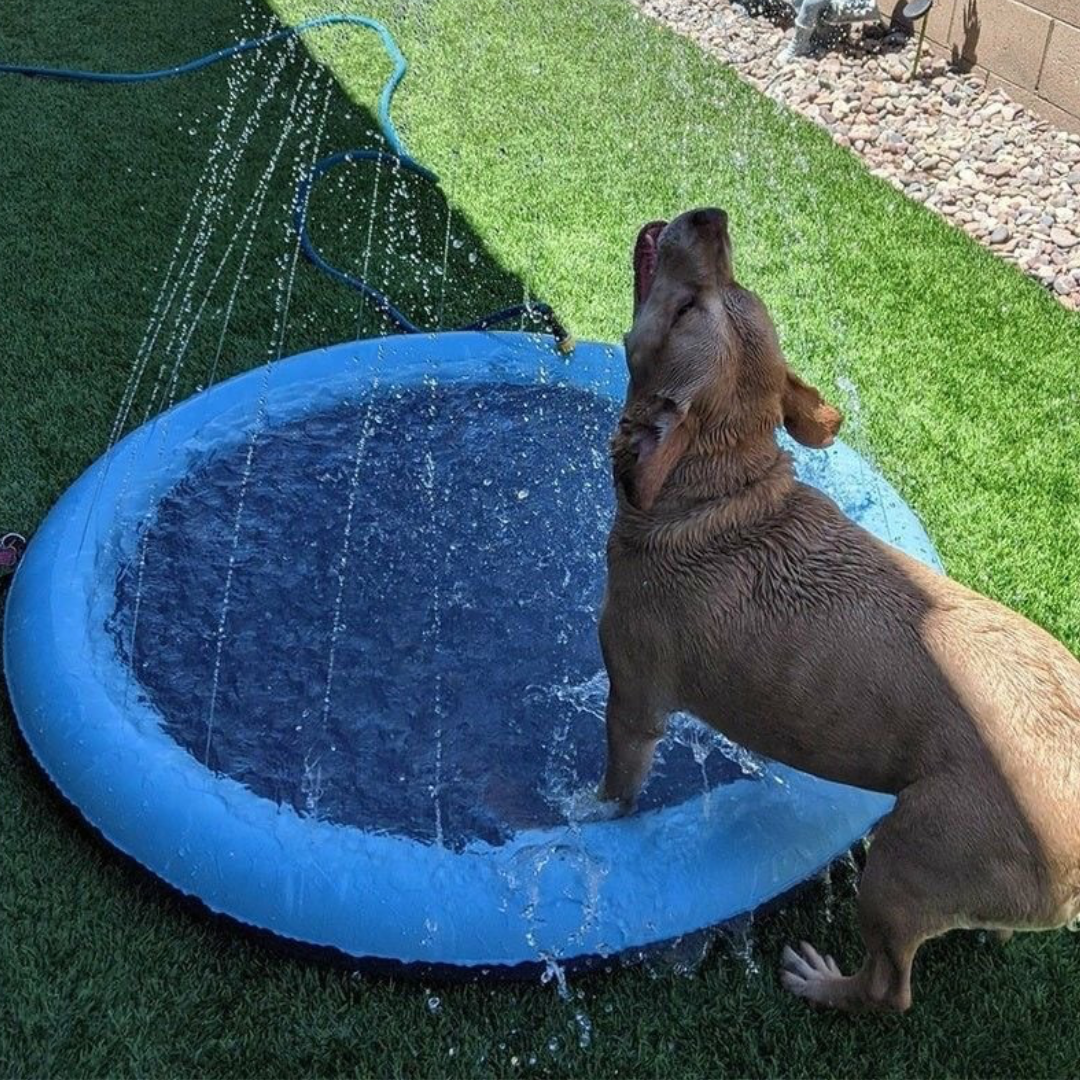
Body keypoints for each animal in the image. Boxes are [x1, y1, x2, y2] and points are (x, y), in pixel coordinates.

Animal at [600, 208, 1080, 1010]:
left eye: (687, 309)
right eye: (735, 287)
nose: (712, 219)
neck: (719, 484)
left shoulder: (632, 699)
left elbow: (614, 792)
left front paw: (588, 815)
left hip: (903, 863)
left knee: (891, 988)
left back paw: (824, 984)